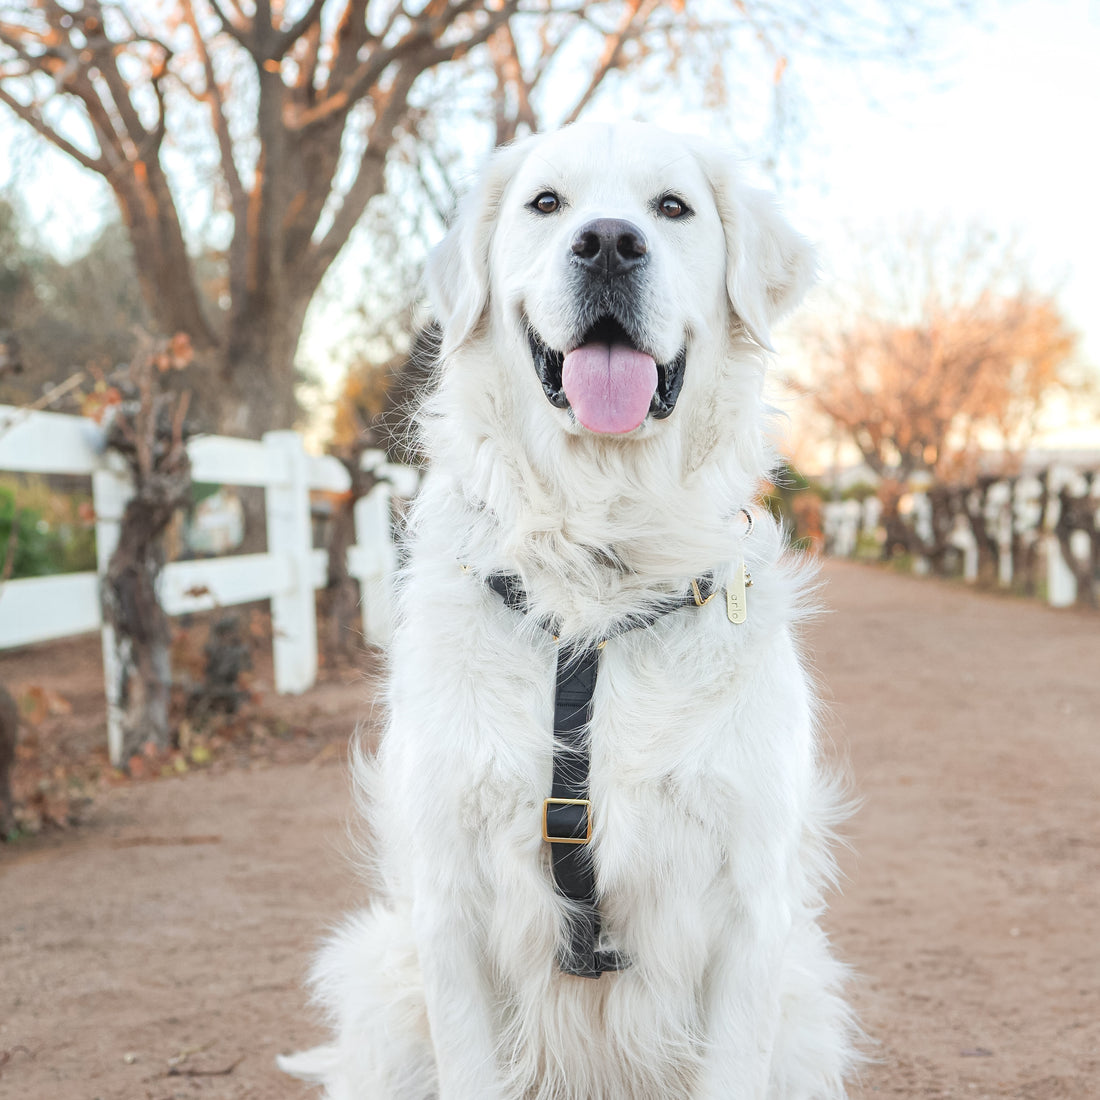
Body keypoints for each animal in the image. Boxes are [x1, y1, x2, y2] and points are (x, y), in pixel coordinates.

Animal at [279, 122, 853, 1100]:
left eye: (673, 207)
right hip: (381, 984)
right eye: (546, 203)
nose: (610, 243)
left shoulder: (750, 906)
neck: (598, 566)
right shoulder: (450, 907)